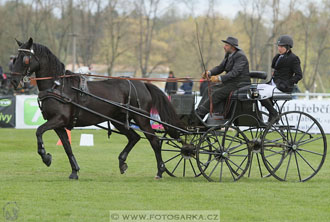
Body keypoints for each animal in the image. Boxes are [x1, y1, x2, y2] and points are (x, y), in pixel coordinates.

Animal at [11, 38, 183, 180]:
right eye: (15, 57)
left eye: (25, 58)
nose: (13, 80)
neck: (57, 86)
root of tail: (142, 83)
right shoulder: (59, 125)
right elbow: (67, 146)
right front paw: (74, 171)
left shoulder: (58, 120)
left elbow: (39, 131)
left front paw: (45, 157)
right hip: (119, 120)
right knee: (134, 137)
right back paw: (122, 162)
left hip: (141, 118)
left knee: (154, 141)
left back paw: (160, 171)